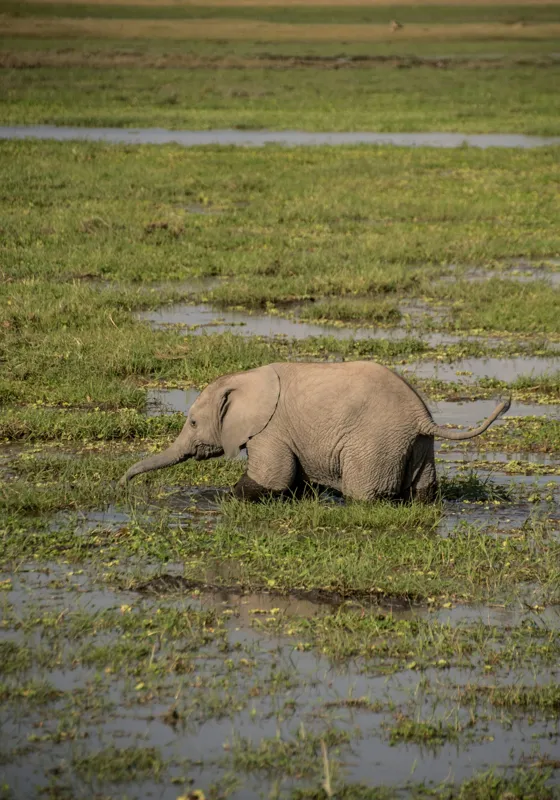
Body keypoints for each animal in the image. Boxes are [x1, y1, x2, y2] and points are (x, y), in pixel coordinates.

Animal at [120, 361, 510, 503]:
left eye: (193, 423)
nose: (123, 483)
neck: (245, 377)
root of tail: (420, 416)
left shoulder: (270, 430)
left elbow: (270, 480)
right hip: (417, 445)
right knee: (423, 490)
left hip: (374, 444)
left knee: (362, 493)